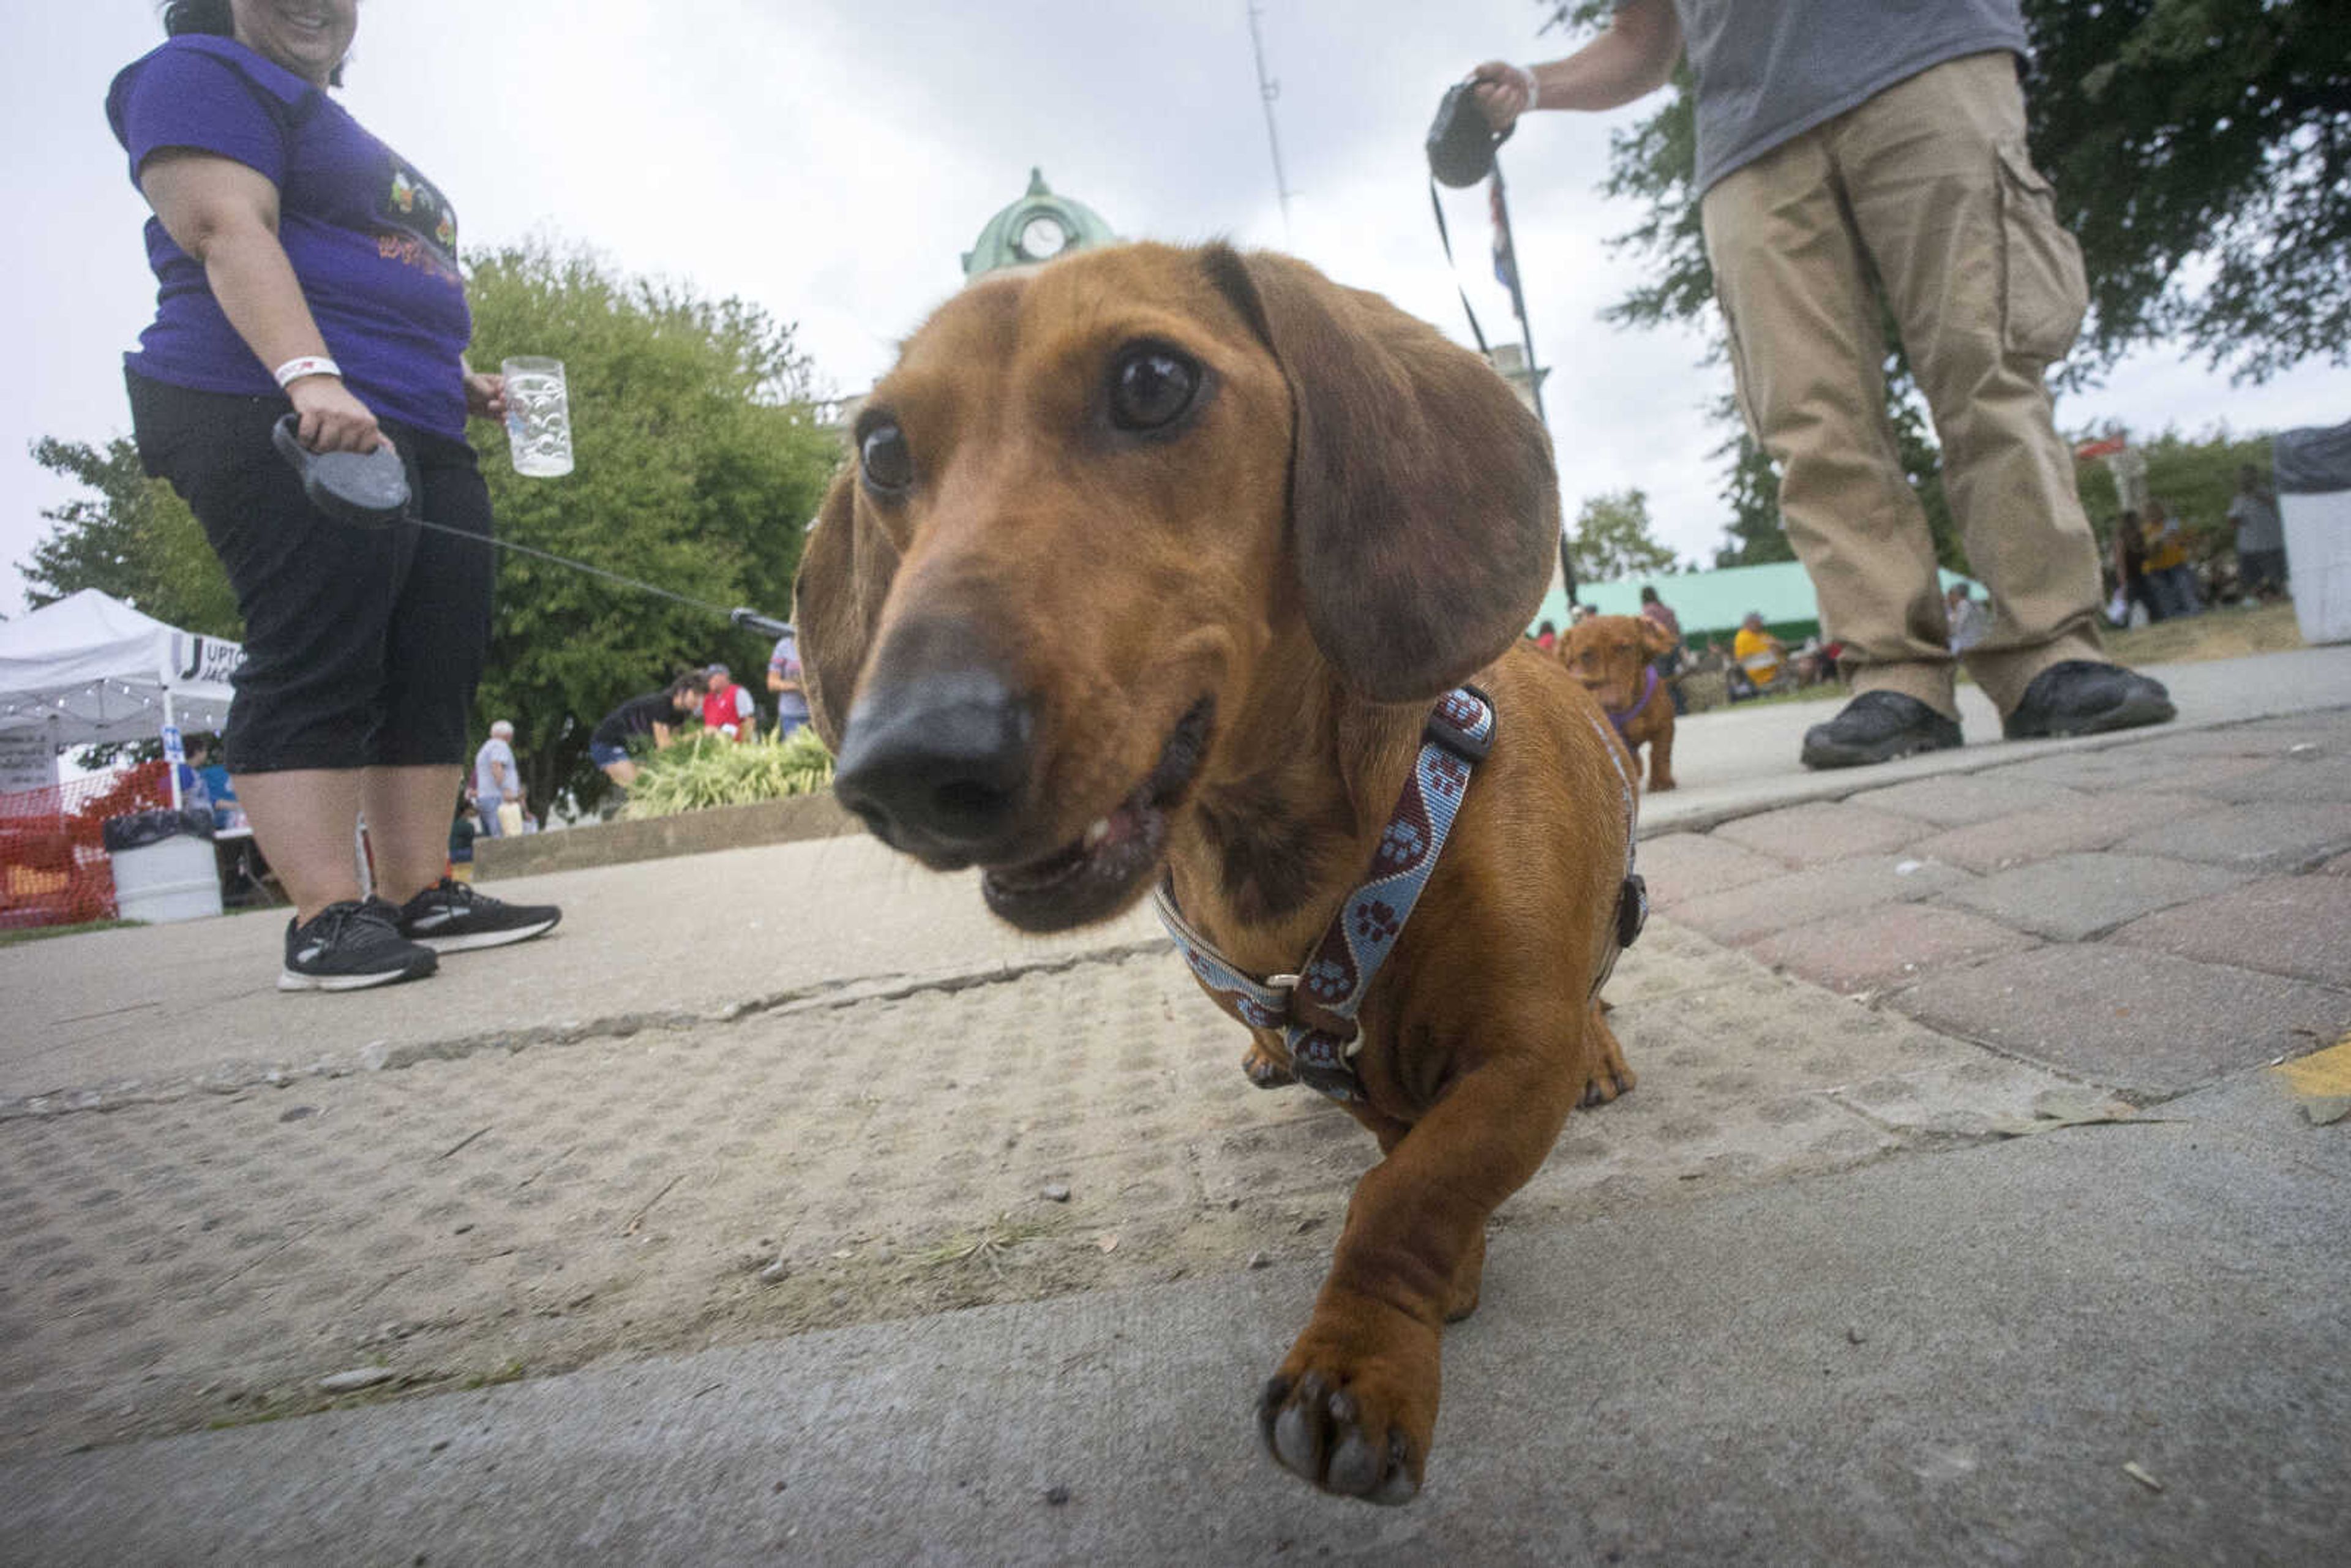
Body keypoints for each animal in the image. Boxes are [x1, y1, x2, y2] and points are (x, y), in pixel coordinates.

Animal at [790, 246, 1636, 1504]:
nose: (903, 764)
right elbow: (1401, 1156)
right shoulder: (1350, 1058)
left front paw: (1362, 1360)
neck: (1300, 862)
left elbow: (1415, 1187)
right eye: (882, 446)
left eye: (1152, 381)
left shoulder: (1521, 1057)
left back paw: (1609, 1050)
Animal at [1561, 615, 1674, 799]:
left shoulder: (1665, 725)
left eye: (1625, 648)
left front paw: (1661, 782)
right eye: (1586, 654)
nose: (1610, 702)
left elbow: (1660, 753)